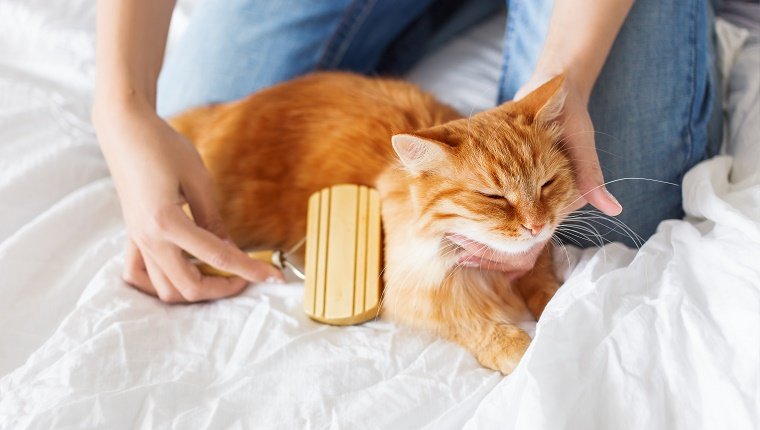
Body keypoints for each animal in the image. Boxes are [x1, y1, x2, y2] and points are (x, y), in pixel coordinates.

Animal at [171, 71, 576, 372]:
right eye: (494, 197)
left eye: (546, 184)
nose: (536, 225)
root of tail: (223, 111)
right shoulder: (413, 294)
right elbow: (470, 322)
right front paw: (517, 348)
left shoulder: (536, 257)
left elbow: (544, 284)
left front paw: (556, 307)